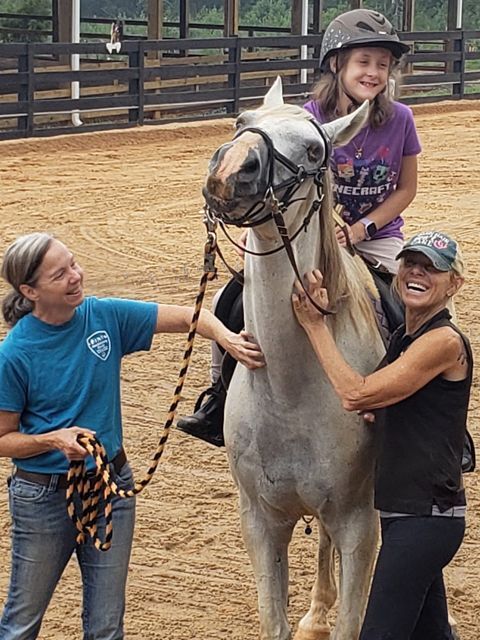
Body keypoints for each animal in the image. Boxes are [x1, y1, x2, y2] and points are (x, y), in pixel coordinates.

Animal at [203, 78, 386, 640]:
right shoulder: (260, 522)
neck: (290, 392)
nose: (230, 168)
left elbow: (353, 619)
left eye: (312, 151)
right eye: (240, 122)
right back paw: (315, 610)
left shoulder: (359, 523)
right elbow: (274, 620)